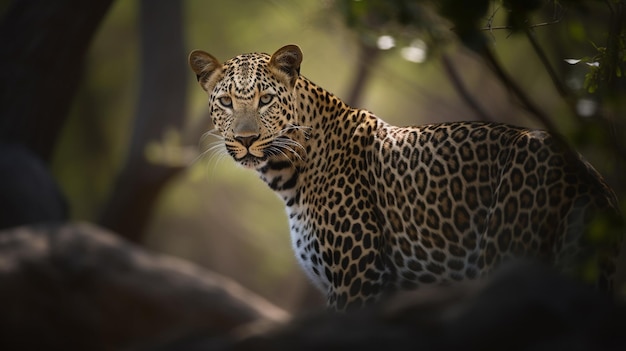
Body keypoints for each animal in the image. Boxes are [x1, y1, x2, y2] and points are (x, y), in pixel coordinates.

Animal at [188, 45, 620, 312]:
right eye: (226, 102)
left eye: (265, 100)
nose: (246, 139)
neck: (289, 172)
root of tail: (588, 175)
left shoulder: (358, 280)